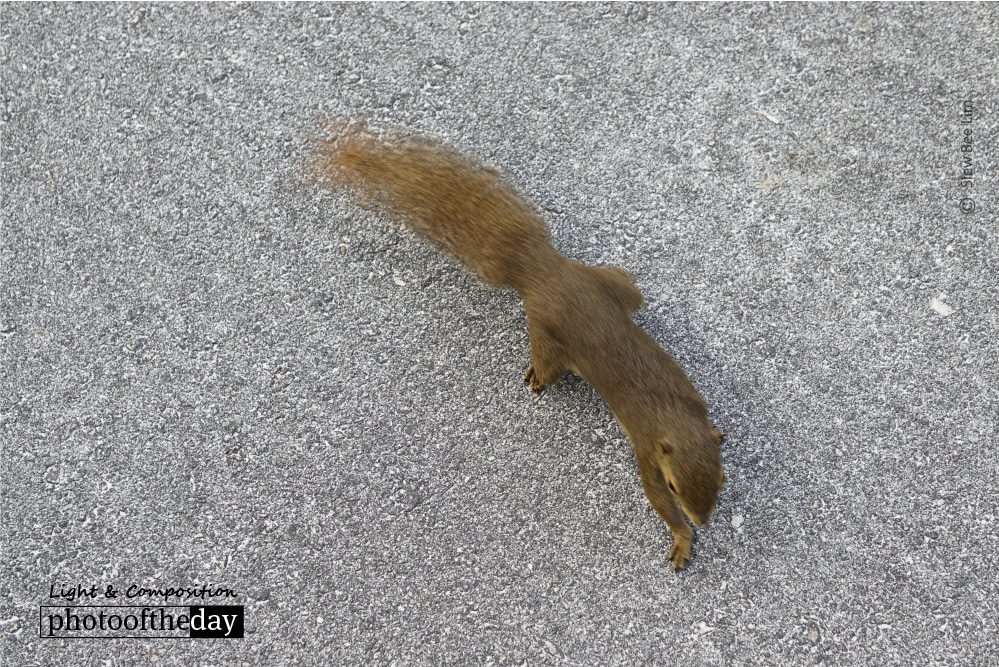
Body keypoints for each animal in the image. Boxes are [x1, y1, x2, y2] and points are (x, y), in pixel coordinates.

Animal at [315, 124, 725, 569]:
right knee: (545, 364)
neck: (677, 418)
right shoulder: (648, 454)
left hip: (609, 282)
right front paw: (683, 537)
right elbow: (655, 501)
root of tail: (540, 267)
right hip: (546, 333)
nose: (703, 521)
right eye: (674, 485)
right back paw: (534, 377)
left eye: (722, 477)